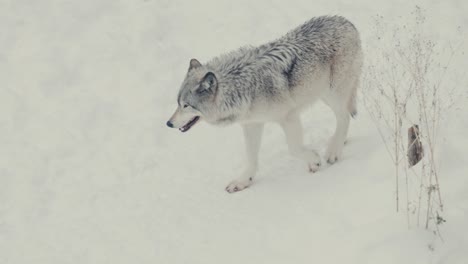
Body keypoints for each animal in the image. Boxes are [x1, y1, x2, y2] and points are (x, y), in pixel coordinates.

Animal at [166, 16, 364, 193]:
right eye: (178, 103)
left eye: (186, 105)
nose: (168, 123)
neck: (241, 88)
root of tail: (346, 21)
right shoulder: (251, 125)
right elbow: (251, 158)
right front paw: (243, 182)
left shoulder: (289, 118)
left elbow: (294, 148)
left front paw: (314, 161)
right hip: (324, 94)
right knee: (343, 116)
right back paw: (338, 141)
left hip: (331, 93)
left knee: (344, 116)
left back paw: (333, 151)